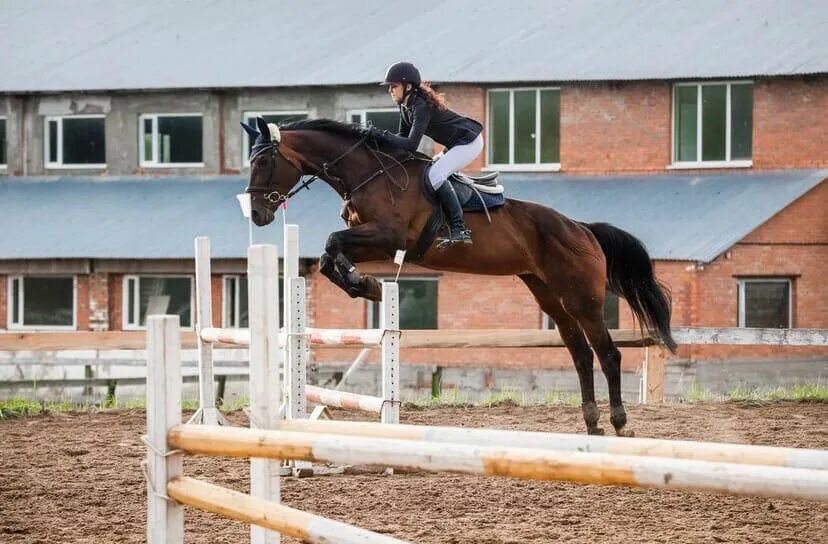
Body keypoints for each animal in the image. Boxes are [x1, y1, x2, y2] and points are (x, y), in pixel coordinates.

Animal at [241, 117, 680, 436]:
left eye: (262, 162)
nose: (258, 215)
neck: (369, 173)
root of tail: (582, 228)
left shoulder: (390, 236)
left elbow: (333, 243)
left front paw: (367, 286)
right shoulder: (376, 242)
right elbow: (330, 254)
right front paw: (364, 286)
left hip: (581, 299)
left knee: (607, 354)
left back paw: (620, 424)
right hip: (550, 296)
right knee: (581, 355)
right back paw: (592, 425)